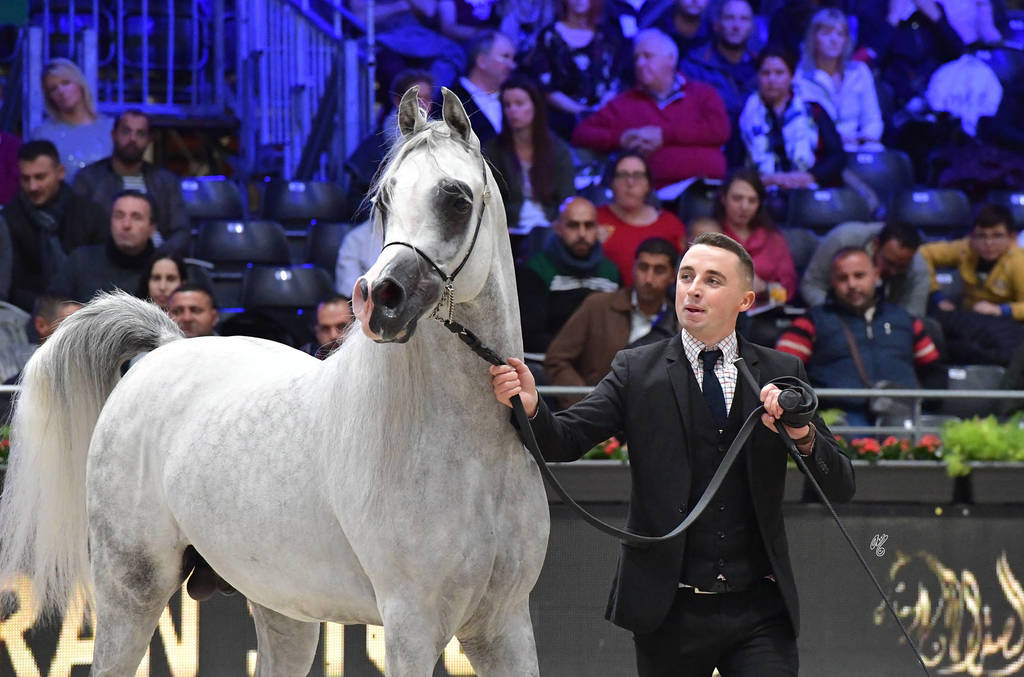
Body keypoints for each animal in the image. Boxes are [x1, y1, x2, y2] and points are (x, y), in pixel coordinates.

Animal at [0, 87, 550, 676]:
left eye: (456, 200)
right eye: (384, 200)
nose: (379, 300)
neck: (468, 454)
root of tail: (162, 351)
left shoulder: (504, 627)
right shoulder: (412, 629)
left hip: (280, 607)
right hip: (132, 587)